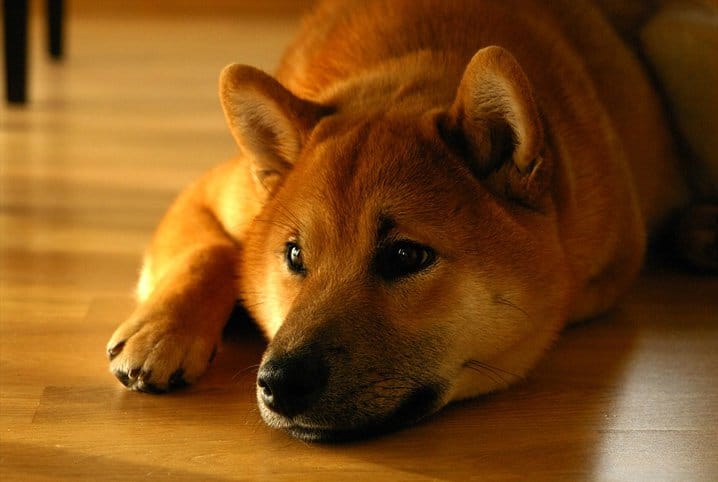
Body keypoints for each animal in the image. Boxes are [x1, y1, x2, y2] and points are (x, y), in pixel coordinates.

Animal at [108, 0, 718, 442]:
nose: (279, 382)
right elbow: (214, 252)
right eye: (295, 255)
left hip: (675, 39)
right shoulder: (210, 192)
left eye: (406, 256)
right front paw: (162, 329)